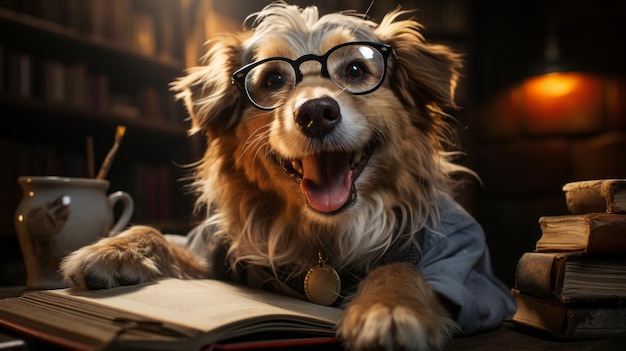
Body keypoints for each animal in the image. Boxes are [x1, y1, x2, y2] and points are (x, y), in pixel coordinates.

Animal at [61, 2, 516, 351]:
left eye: (356, 70)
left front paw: (388, 309)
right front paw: (112, 250)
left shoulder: (470, 267)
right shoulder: (214, 249)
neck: (324, 237)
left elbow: (402, 269)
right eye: (273, 78)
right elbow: (159, 234)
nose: (315, 113)